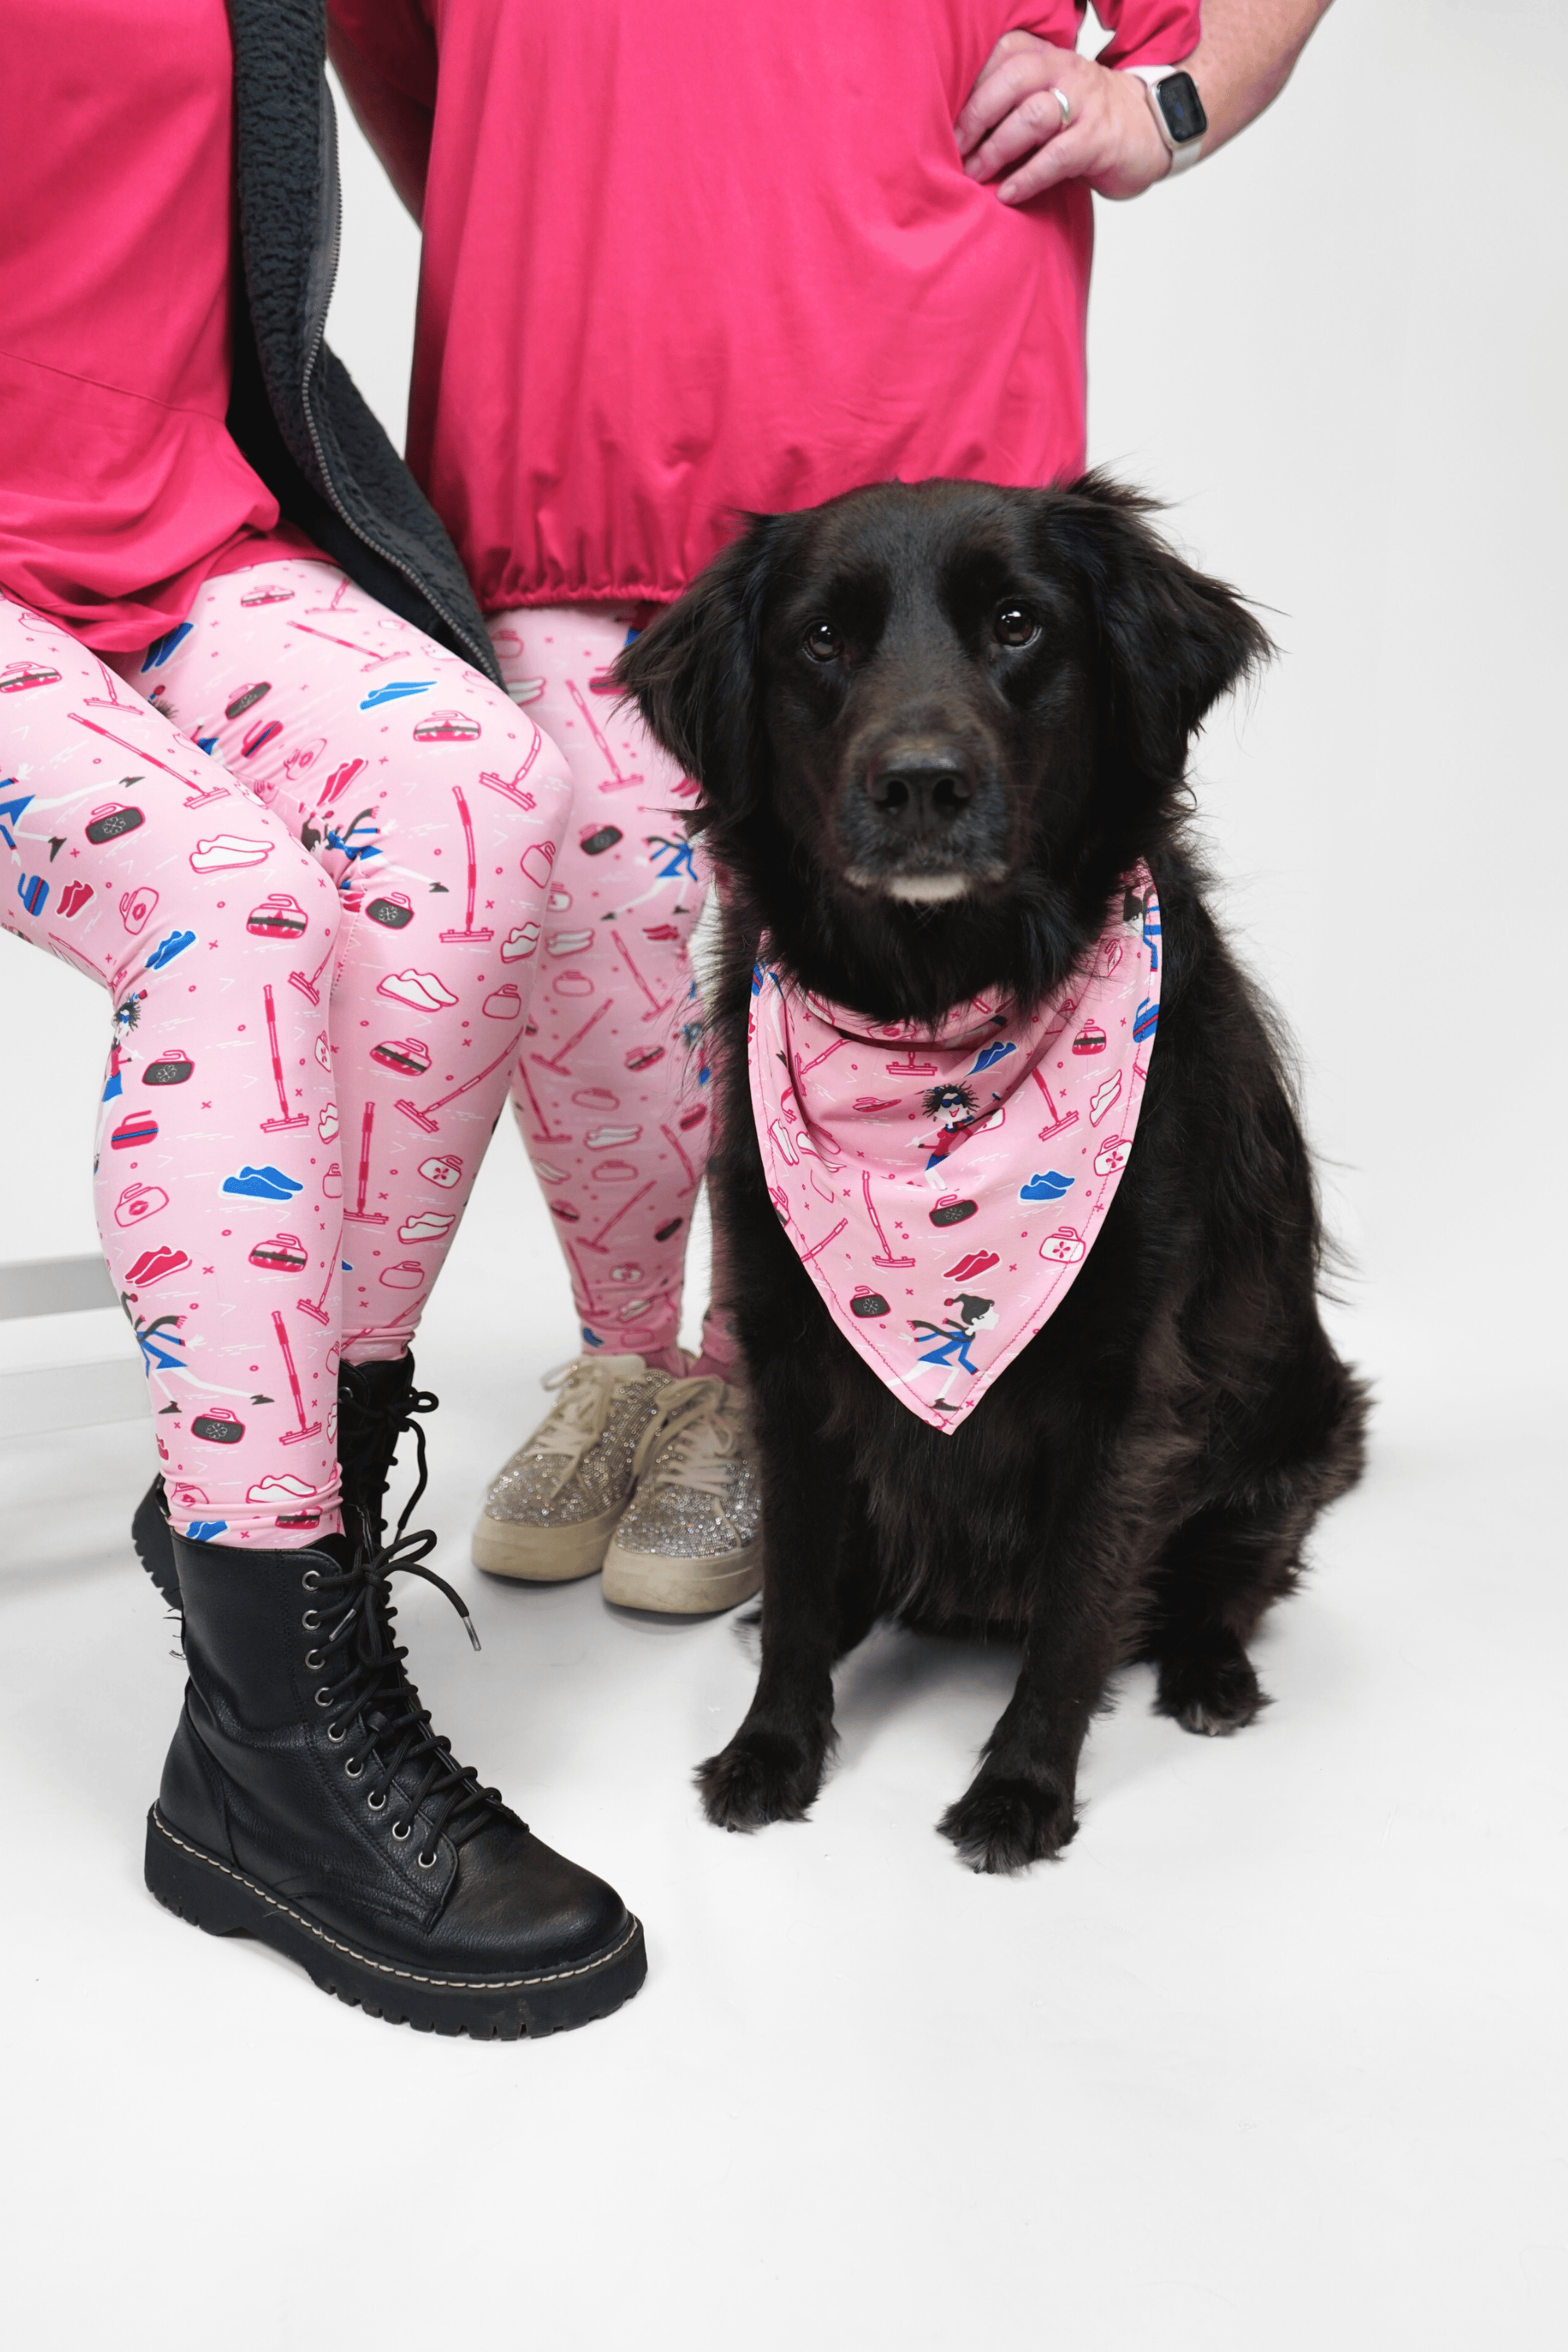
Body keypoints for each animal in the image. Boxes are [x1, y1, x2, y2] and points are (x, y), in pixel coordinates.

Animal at [616, 474, 1366, 1874]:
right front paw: (775, 1748)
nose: (921, 783)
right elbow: (799, 1577)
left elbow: (1078, 1603)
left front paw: (1022, 1788)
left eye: (1019, 624)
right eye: (821, 640)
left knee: (1230, 1579)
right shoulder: (788, 1339)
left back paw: (1209, 1674)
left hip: (1297, 1430)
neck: (936, 1024)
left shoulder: (1127, 1381)